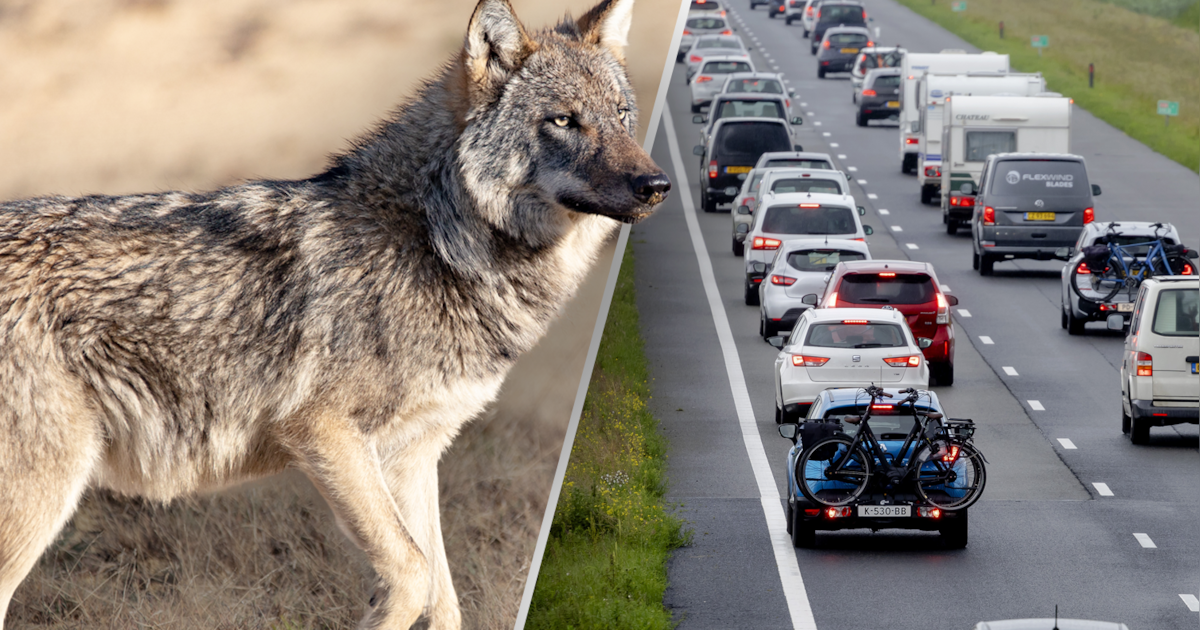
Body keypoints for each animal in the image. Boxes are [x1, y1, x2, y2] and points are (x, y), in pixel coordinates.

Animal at [0, 0, 669, 626]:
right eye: (564, 120)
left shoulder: (413, 453)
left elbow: (445, 599)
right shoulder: (323, 433)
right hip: (42, 498)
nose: (656, 186)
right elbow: (412, 573)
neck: (435, 240)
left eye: (621, 116)